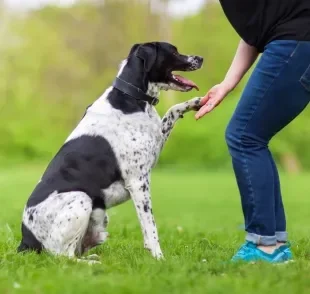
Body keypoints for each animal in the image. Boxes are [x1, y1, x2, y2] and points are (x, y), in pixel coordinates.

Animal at [18, 42, 205, 262]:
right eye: (174, 51)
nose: (200, 58)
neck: (131, 97)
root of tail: (25, 240)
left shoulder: (156, 143)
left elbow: (172, 111)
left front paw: (194, 102)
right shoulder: (138, 182)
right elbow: (150, 227)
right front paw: (159, 258)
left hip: (99, 221)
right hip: (81, 199)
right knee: (64, 256)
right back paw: (91, 263)